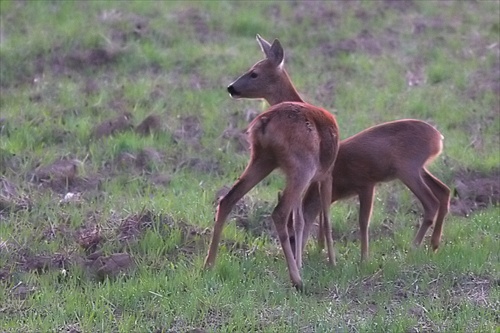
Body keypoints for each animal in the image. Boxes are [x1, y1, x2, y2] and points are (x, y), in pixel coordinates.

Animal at [203, 46, 340, 288]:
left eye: (254, 73)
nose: (231, 87)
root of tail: (265, 122)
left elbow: (299, 220)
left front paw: (301, 261)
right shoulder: (326, 173)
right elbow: (325, 217)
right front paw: (331, 262)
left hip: (263, 160)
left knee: (227, 199)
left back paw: (208, 264)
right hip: (302, 167)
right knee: (279, 213)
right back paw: (296, 280)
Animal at [228, 34, 454, 262]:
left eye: (254, 73)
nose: (231, 87)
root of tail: (438, 138)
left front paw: (326, 252)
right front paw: (319, 249)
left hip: (407, 169)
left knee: (431, 201)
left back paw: (415, 247)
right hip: (419, 168)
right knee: (443, 191)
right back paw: (434, 244)